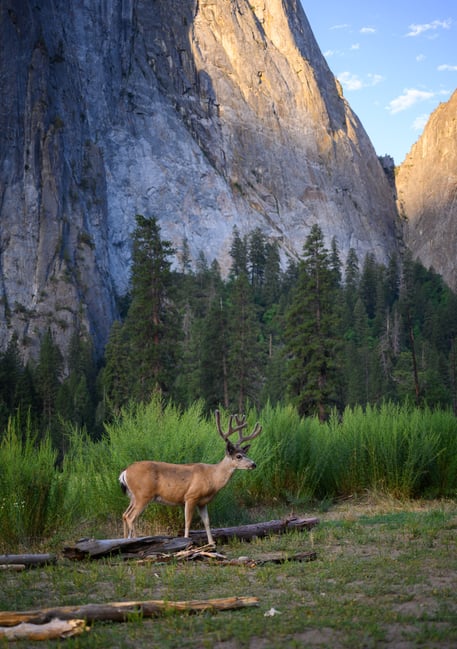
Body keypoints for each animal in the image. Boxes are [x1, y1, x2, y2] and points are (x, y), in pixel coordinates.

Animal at [117, 410, 260, 540]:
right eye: (239, 456)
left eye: (245, 453)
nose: (254, 464)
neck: (212, 477)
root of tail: (125, 472)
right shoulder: (191, 496)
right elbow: (188, 521)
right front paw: (186, 541)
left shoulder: (203, 502)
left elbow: (207, 522)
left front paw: (212, 544)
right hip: (143, 494)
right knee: (131, 517)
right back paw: (136, 539)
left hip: (133, 496)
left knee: (124, 514)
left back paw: (124, 540)